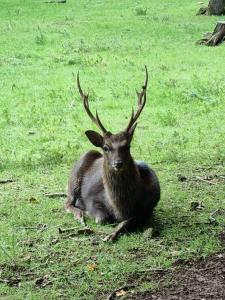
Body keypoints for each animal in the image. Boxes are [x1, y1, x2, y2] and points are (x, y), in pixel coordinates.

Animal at [65, 66, 160, 241]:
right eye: (106, 147)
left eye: (127, 145)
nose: (118, 163)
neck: (121, 208)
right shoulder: (92, 198)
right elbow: (101, 218)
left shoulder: (148, 209)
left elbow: (128, 221)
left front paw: (111, 235)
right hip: (73, 178)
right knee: (67, 202)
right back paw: (80, 215)